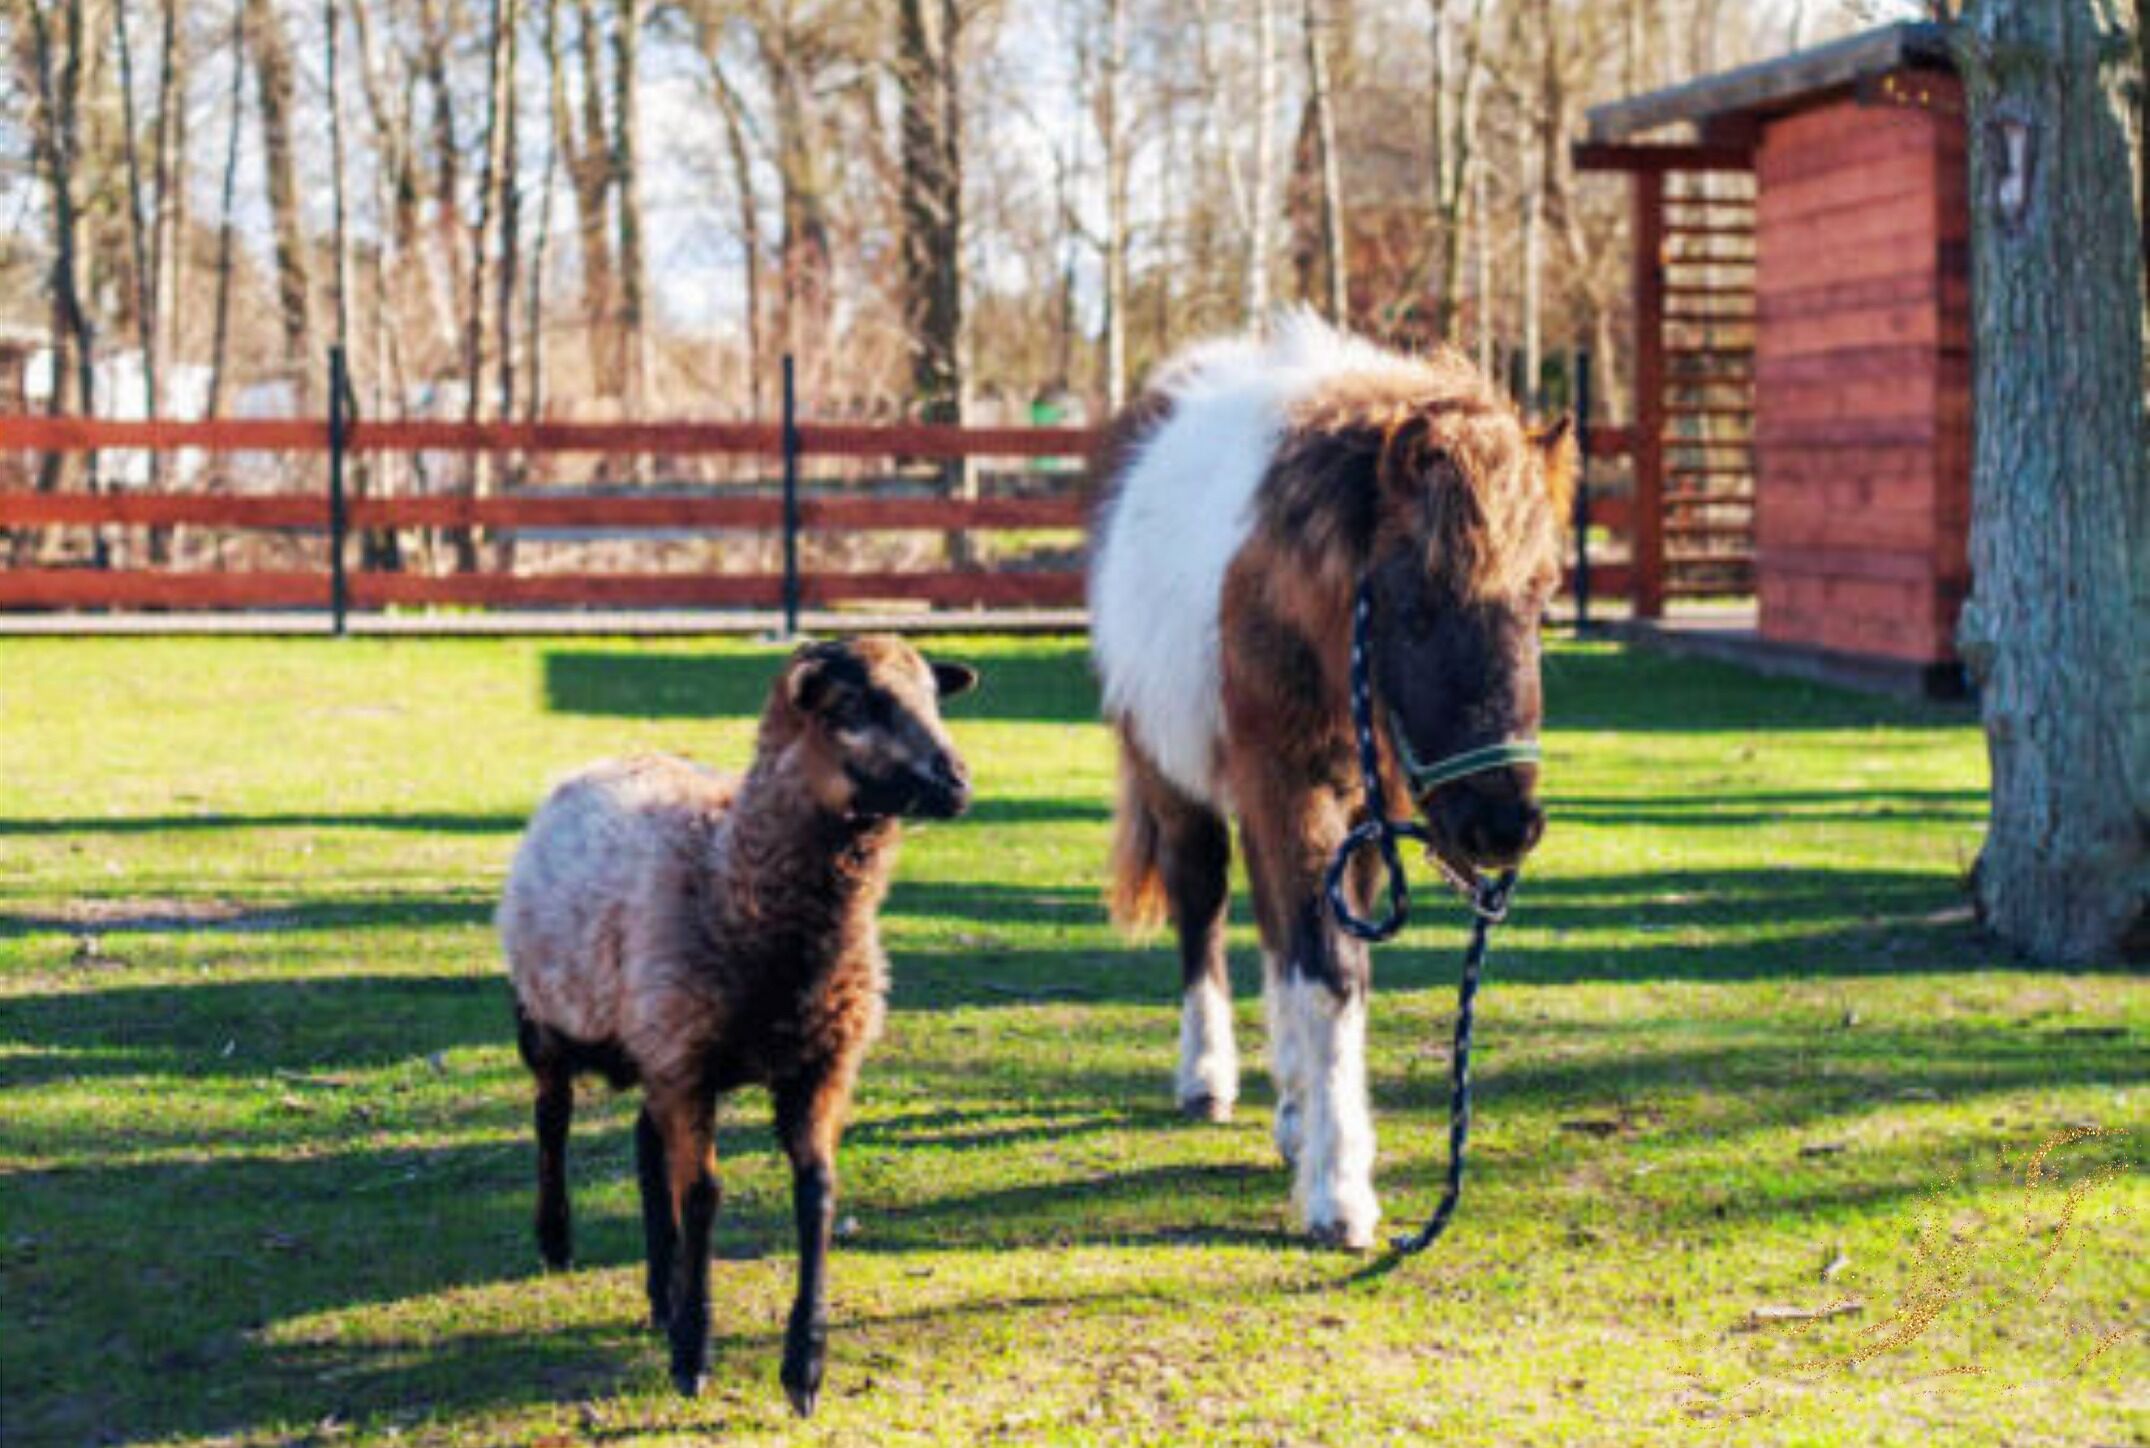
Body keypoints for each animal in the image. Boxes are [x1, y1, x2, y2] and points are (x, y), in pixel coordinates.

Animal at [499, 636, 978, 1415]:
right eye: (856, 703)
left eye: (935, 698)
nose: (958, 781)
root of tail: (605, 761)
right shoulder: (689, 1065)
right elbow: (702, 1196)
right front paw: (694, 1355)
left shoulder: (815, 1065)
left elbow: (816, 1192)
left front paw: (803, 1366)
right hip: (548, 1018)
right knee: (552, 1116)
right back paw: (558, 1240)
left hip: (657, 1039)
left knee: (644, 1143)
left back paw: (660, 1293)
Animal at [1088, 314, 1574, 1249]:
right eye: (1415, 606)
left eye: (1540, 603)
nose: (1503, 825)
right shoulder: (1288, 789)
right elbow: (1330, 972)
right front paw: (1340, 1188)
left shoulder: (1363, 815)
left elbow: (1321, 958)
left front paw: (1314, 1129)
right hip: (1175, 778)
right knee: (1203, 906)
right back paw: (1208, 1074)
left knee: (1279, 931)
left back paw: (1290, 1107)